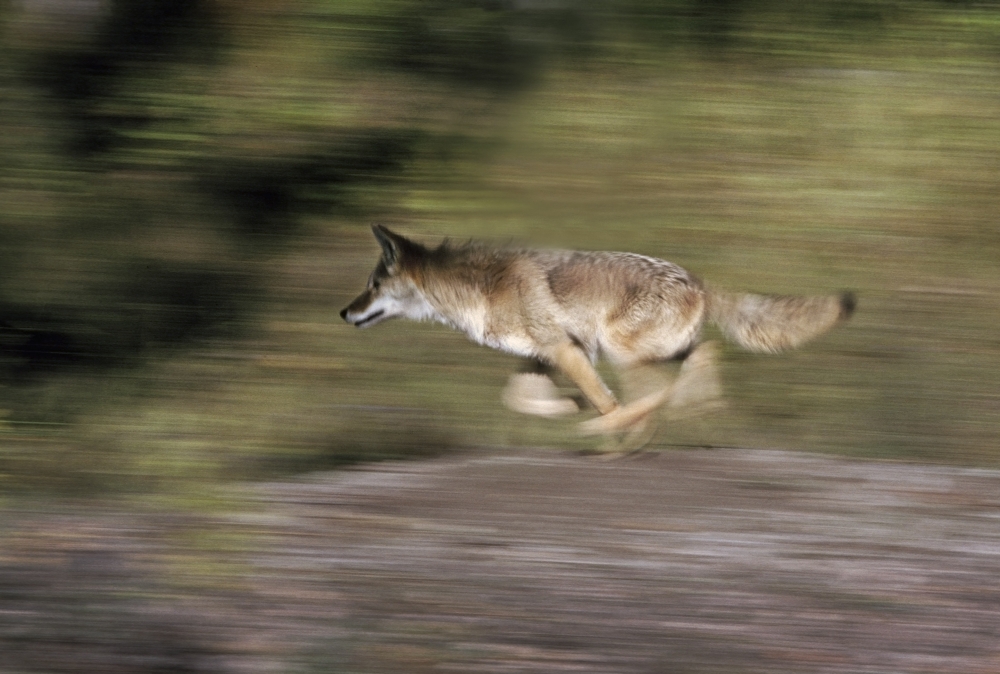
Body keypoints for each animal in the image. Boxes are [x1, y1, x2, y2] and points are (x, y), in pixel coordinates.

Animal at [342, 225, 854, 449]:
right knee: (702, 359)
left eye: (372, 285)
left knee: (659, 391)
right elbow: (519, 400)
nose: (344, 312)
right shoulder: (545, 357)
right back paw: (691, 412)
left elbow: (603, 402)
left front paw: (601, 427)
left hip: (620, 350)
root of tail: (698, 280)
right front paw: (571, 408)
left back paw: (623, 428)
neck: (478, 290)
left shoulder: (566, 351)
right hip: (644, 351)